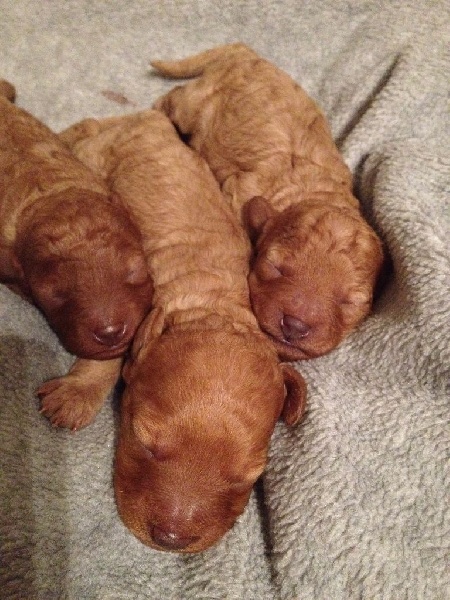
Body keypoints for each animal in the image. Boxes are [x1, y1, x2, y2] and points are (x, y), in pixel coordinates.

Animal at [48, 109, 307, 552]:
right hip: (95, 154)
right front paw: (76, 394)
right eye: (143, 441)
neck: (208, 306)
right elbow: (108, 351)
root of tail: (138, 117)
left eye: (249, 476)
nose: (171, 539)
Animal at [152, 43, 384, 361]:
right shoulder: (239, 192)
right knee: (174, 98)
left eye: (350, 302)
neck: (310, 193)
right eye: (274, 267)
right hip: (196, 104)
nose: (296, 325)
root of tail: (246, 53)